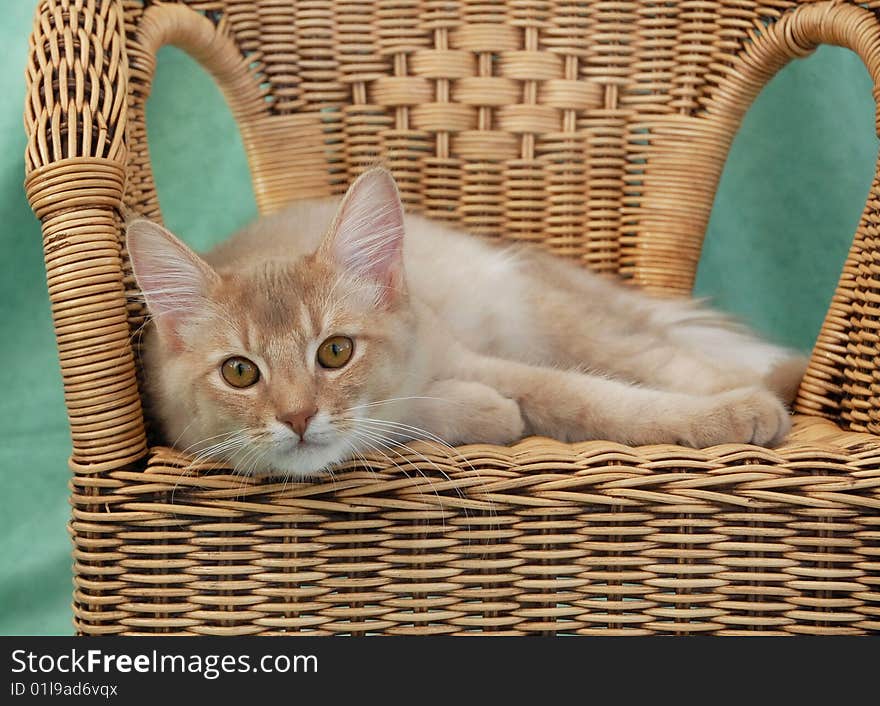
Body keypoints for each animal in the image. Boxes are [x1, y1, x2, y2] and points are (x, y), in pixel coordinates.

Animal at [127, 166, 808, 478]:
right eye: (240, 372)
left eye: (335, 352)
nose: (296, 418)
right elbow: (412, 421)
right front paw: (487, 412)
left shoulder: (471, 355)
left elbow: (594, 399)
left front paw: (716, 419)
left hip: (543, 310)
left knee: (667, 356)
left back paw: (753, 394)